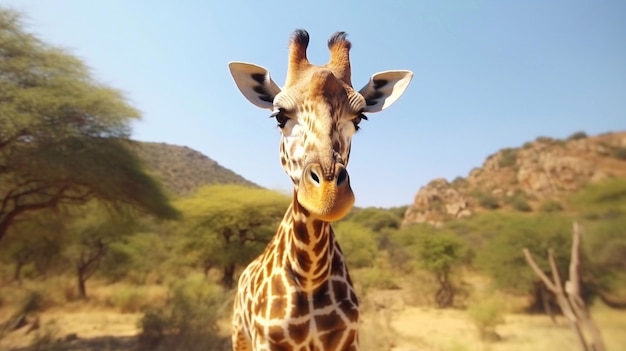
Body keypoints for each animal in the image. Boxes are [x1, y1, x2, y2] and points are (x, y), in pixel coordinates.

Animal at [227, 31, 412, 351]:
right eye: (279, 116)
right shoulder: (267, 343)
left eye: (360, 118)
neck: (310, 274)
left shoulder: (346, 341)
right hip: (239, 335)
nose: (327, 197)